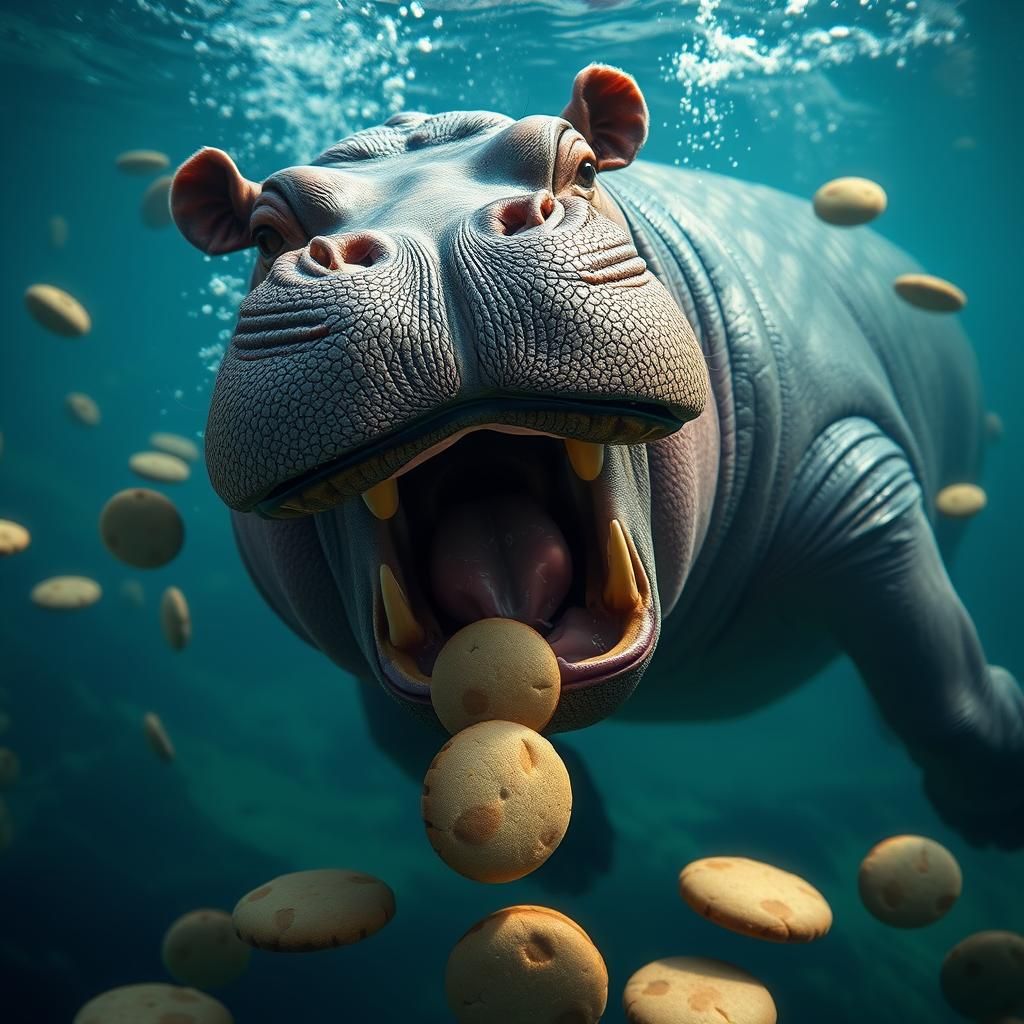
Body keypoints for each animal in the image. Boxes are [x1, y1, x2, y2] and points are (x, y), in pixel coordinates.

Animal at [171, 64, 1023, 848]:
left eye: (580, 167)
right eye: (265, 234)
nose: (434, 240)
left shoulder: (855, 467)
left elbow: (932, 669)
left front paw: (992, 793)